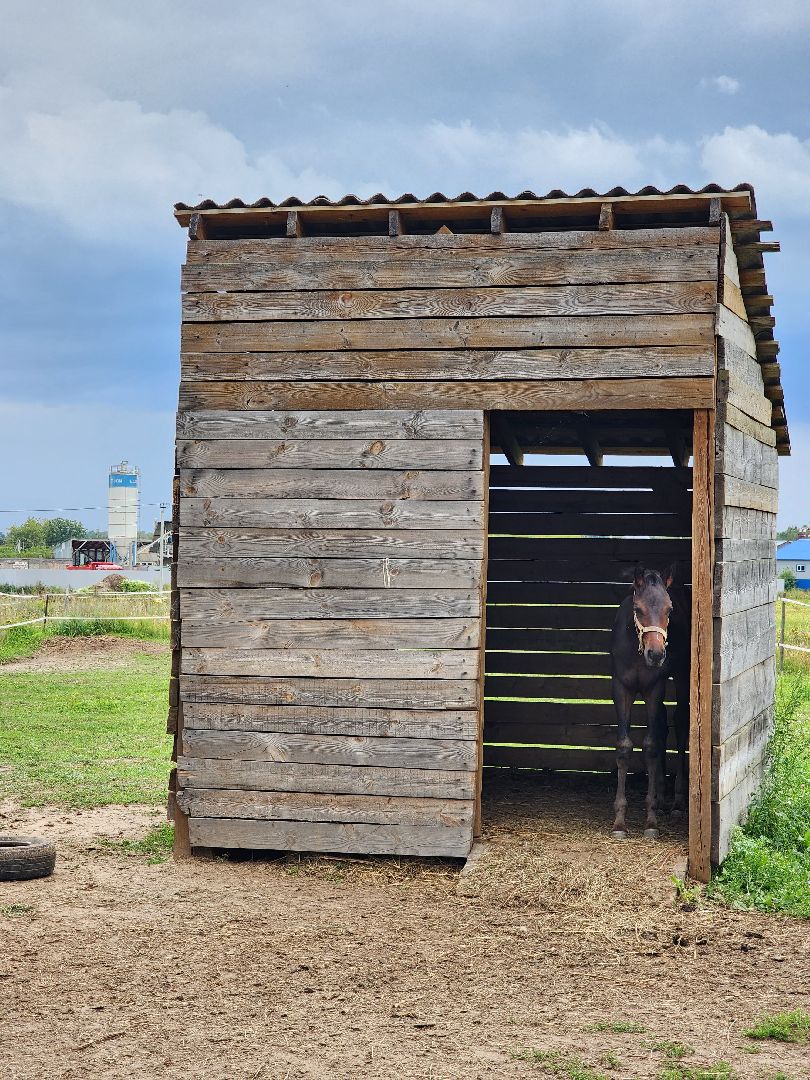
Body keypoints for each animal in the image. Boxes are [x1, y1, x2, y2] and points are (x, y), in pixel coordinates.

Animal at [609, 565, 690, 839]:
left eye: (669, 609)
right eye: (638, 609)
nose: (656, 655)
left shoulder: (654, 687)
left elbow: (651, 746)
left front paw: (651, 821)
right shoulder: (621, 688)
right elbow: (624, 746)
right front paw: (619, 823)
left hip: (682, 676)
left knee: (680, 723)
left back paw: (676, 803)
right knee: (664, 724)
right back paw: (664, 798)